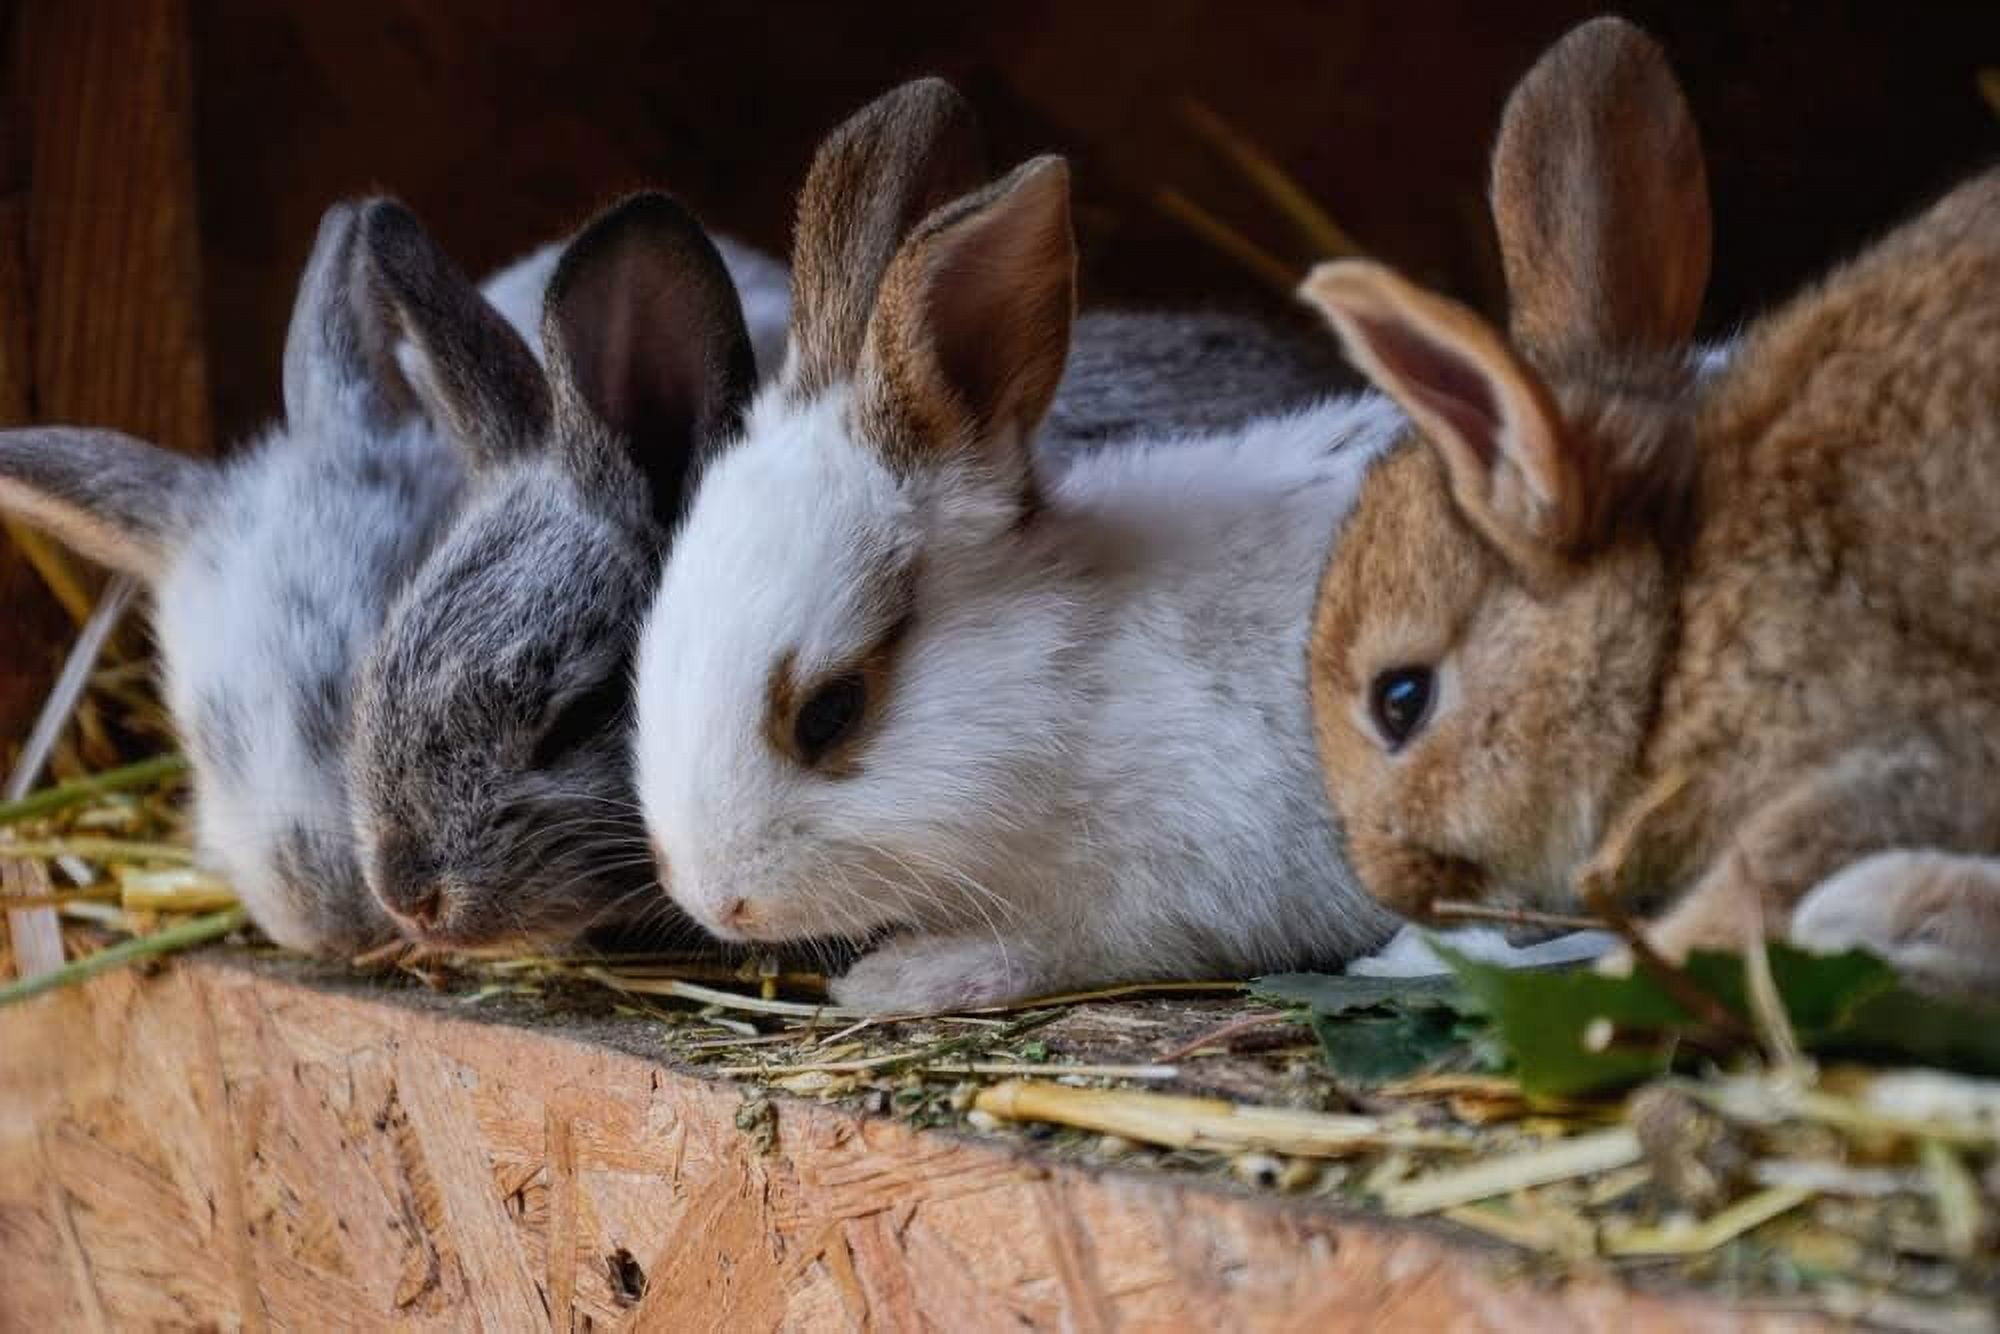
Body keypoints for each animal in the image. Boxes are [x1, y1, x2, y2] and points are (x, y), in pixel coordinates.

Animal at [629, 78, 1402, 1015]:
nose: (715, 899)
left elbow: (1060, 944)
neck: (1068, 687)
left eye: (830, 712)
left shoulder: (1182, 887)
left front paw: (902, 979)